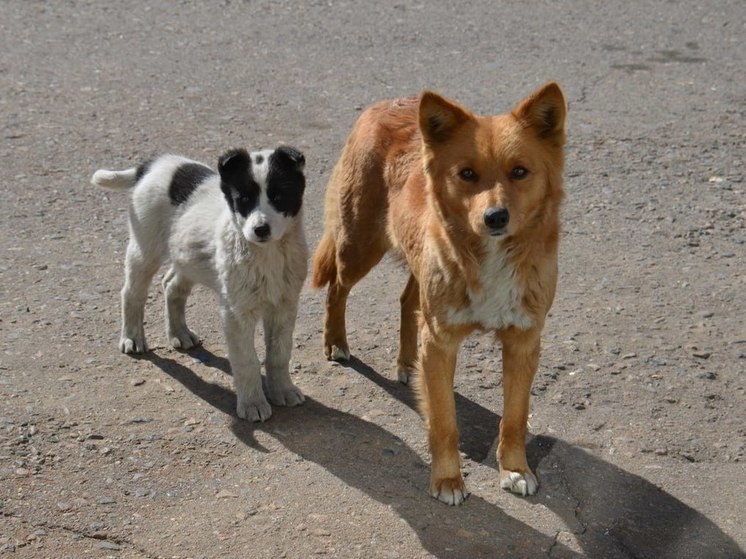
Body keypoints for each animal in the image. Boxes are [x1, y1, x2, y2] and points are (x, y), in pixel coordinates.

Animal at [93, 147, 308, 422]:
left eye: (279, 196)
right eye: (243, 199)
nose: (260, 229)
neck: (266, 253)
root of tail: (151, 166)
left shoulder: (284, 304)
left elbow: (279, 353)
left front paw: (283, 390)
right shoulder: (236, 312)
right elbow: (246, 360)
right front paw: (253, 403)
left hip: (186, 255)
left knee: (172, 286)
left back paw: (179, 333)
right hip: (145, 248)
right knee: (132, 293)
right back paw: (132, 337)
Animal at [312, 83, 564, 508]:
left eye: (519, 172)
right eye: (467, 174)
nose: (495, 217)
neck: (489, 256)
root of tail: (384, 104)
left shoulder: (523, 342)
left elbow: (514, 417)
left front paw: (515, 469)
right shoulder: (441, 342)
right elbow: (444, 421)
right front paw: (448, 480)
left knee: (406, 301)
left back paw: (407, 362)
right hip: (359, 246)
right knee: (337, 289)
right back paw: (336, 342)